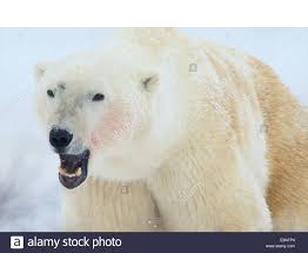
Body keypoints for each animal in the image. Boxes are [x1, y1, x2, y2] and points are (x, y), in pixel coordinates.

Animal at [35, 27, 308, 231]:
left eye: (97, 96)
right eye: (51, 91)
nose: (60, 135)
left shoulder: (195, 157)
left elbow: (226, 216)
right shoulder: (110, 182)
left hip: (285, 149)